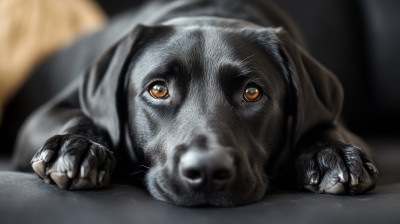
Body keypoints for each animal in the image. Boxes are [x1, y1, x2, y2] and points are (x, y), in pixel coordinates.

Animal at [11, 0, 378, 206]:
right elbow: (81, 118)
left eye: (252, 93)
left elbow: (326, 126)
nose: (207, 171)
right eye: (158, 90)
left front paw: (332, 155)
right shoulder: (44, 114)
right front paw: (78, 147)